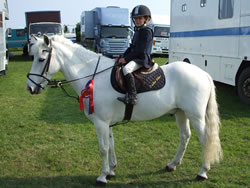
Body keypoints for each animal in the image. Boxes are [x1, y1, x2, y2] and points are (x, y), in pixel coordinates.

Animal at [26, 35, 223, 185]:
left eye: (41, 59)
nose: (30, 88)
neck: (93, 76)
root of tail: (203, 74)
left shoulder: (100, 123)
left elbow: (103, 148)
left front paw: (102, 176)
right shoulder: (107, 123)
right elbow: (111, 145)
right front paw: (111, 170)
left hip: (196, 117)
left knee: (205, 140)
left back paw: (202, 172)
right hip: (181, 113)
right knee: (185, 136)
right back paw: (172, 164)